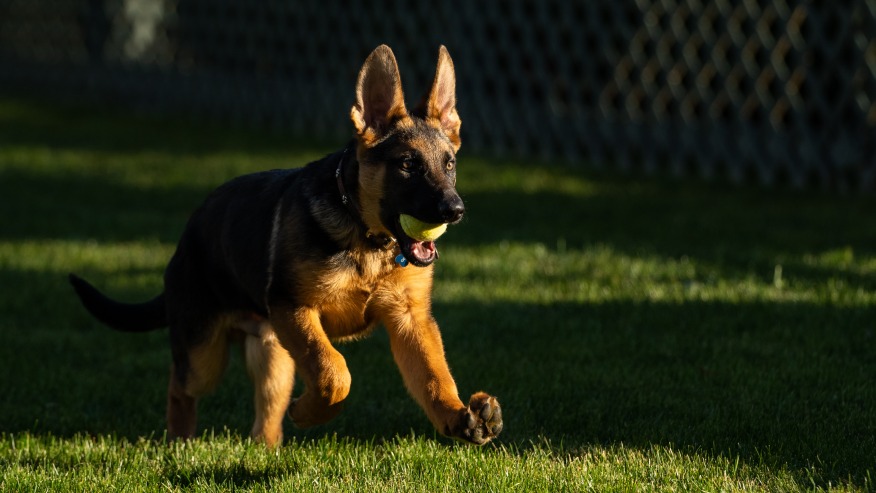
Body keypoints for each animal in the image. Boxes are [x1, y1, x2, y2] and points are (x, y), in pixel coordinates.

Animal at [68, 45, 504, 446]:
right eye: (408, 164)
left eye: (449, 164)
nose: (455, 210)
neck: (367, 240)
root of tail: (187, 236)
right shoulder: (295, 308)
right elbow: (334, 371)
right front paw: (310, 412)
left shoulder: (410, 320)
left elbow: (434, 376)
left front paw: (459, 416)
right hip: (205, 352)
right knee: (180, 384)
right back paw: (180, 439)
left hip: (272, 353)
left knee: (266, 410)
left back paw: (267, 447)